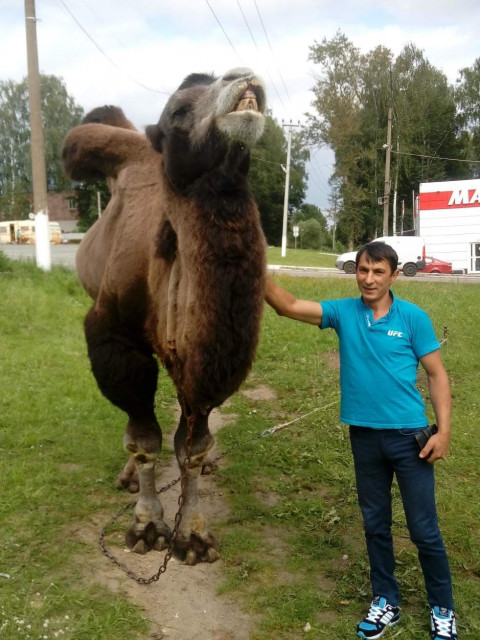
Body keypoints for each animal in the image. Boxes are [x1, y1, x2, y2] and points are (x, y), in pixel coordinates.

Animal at [61, 67, 266, 564]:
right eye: (179, 111)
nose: (243, 76)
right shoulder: (112, 335)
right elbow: (143, 439)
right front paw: (147, 527)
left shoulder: (201, 366)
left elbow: (191, 447)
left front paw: (192, 535)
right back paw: (129, 478)